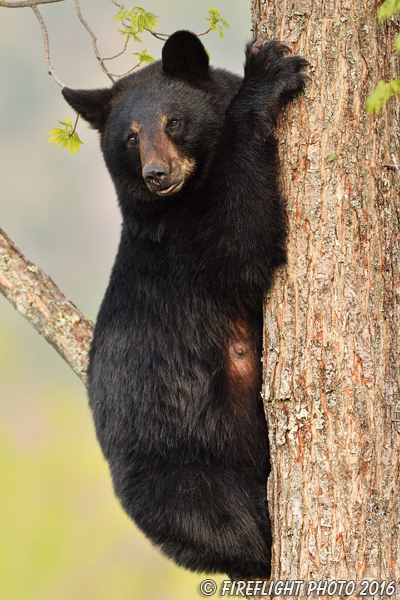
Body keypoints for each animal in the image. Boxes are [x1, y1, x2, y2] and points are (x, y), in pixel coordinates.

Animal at [62, 30, 308, 580]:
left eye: (172, 121)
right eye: (130, 138)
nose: (157, 173)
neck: (179, 197)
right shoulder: (179, 245)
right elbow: (239, 241)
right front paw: (267, 75)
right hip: (189, 474)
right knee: (228, 521)